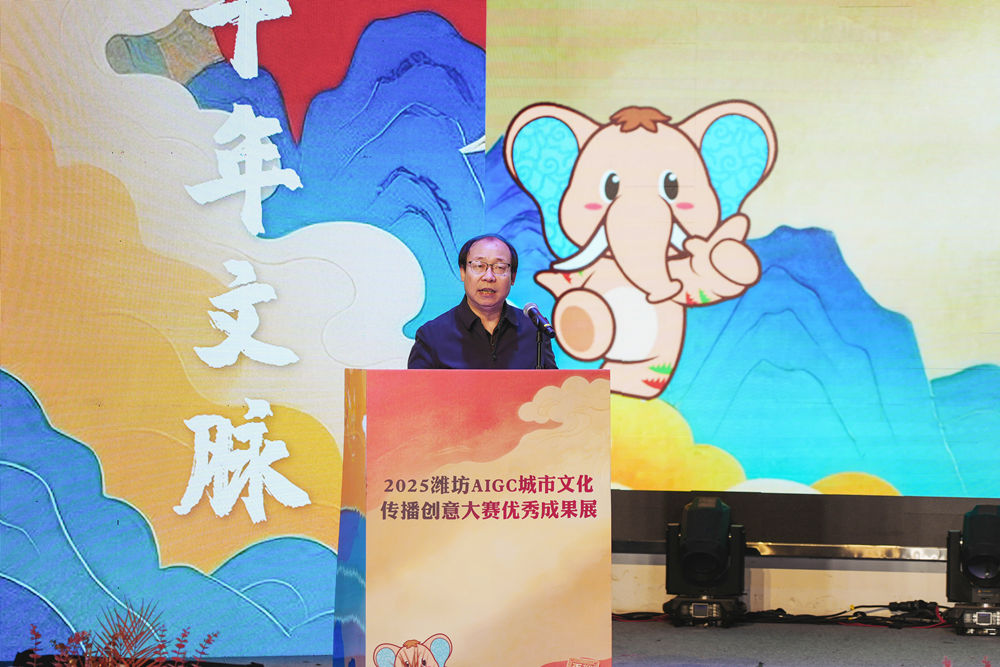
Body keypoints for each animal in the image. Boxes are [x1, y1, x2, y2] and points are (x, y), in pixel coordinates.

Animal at [503, 101, 777, 398]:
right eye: (610, 185)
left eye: (672, 185)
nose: (665, 291)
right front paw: (583, 311)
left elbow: (701, 283)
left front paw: (723, 253)